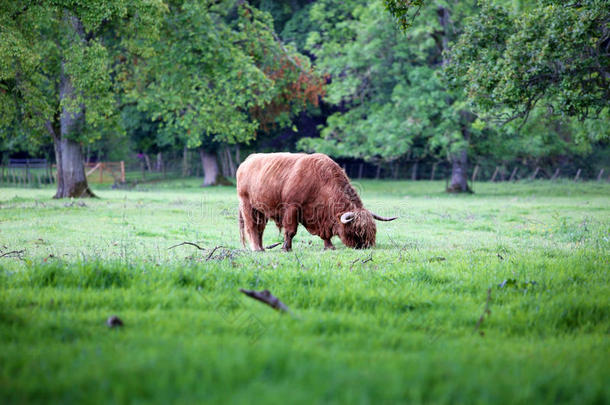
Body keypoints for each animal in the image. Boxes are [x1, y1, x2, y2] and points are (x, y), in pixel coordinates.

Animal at [233, 152, 394, 249]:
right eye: (357, 230)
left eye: (372, 230)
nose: (366, 246)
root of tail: (247, 161)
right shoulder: (292, 208)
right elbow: (290, 231)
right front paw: (286, 248)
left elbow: (326, 234)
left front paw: (329, 246)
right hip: (247, 204)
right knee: (251, 227)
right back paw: (257, 249)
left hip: (261, 210)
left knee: (260, 228)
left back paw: (261, 248)